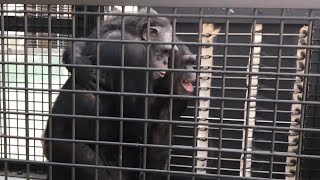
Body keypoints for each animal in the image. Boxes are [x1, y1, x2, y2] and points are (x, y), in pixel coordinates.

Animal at [41, 8, 176, 180]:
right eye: (165, 51)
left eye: (169, 54)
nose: (165, 62)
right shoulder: (134, 55)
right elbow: (134, 123)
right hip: (67, 150)